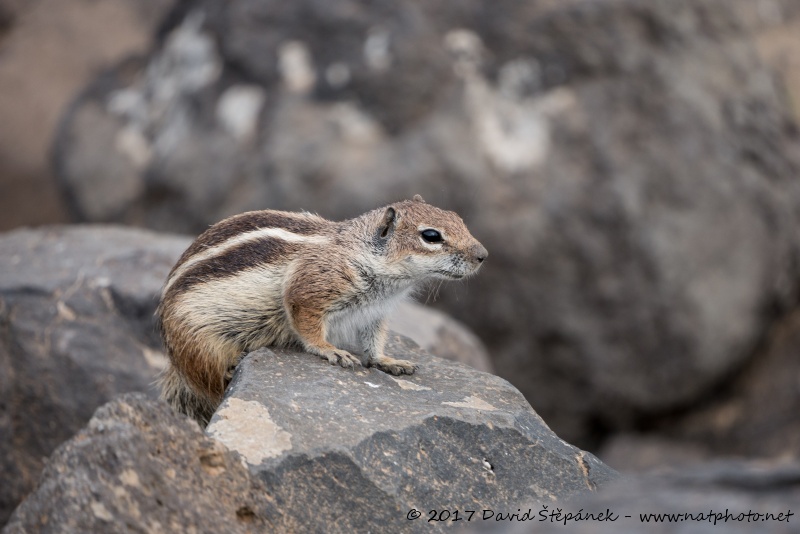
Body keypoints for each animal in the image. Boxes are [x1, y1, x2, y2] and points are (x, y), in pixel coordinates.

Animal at [153, 197, 484, 428]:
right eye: (431, 236)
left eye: (459, 219)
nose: (483, 255)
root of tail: (174, 363)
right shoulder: (310, 288)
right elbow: (306, 322)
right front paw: (330, 350)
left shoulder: (374, 314)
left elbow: (375, 342)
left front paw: (389, 361)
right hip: (198, 344)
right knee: (207, 380)